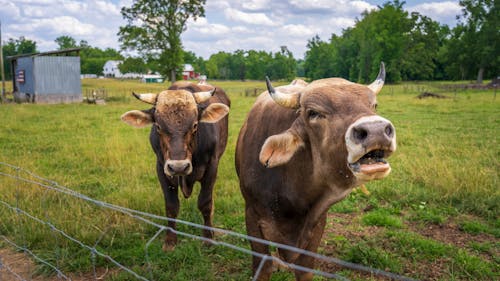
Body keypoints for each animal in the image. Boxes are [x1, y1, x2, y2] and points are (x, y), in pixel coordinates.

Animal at [121, 81, 230, 249]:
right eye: (158, 126)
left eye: (195, 125)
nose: (179, 167)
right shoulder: (162, 168)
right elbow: (171, 206)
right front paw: (170, 241)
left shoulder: (212, 166)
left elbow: (205, 203)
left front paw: (208, 238)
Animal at [236, 63, 396, 280]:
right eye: (313, 113)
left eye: (374, 105)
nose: (376, 131)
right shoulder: (252, 216)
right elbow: (263, 266)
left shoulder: (317, 223)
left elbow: (305, 268)